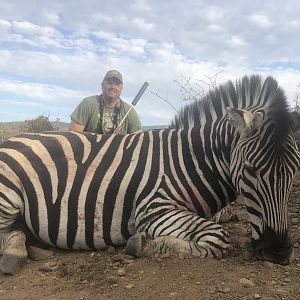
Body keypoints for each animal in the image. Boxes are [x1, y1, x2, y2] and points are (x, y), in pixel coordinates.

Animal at [0, 75, 298, 274]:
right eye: (250, 170)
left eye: (294, 171)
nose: (279, 251)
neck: (191, 161)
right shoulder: (152, 209)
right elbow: (218, 238)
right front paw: (141, 244)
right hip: (8, 194)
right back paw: (14, 254)